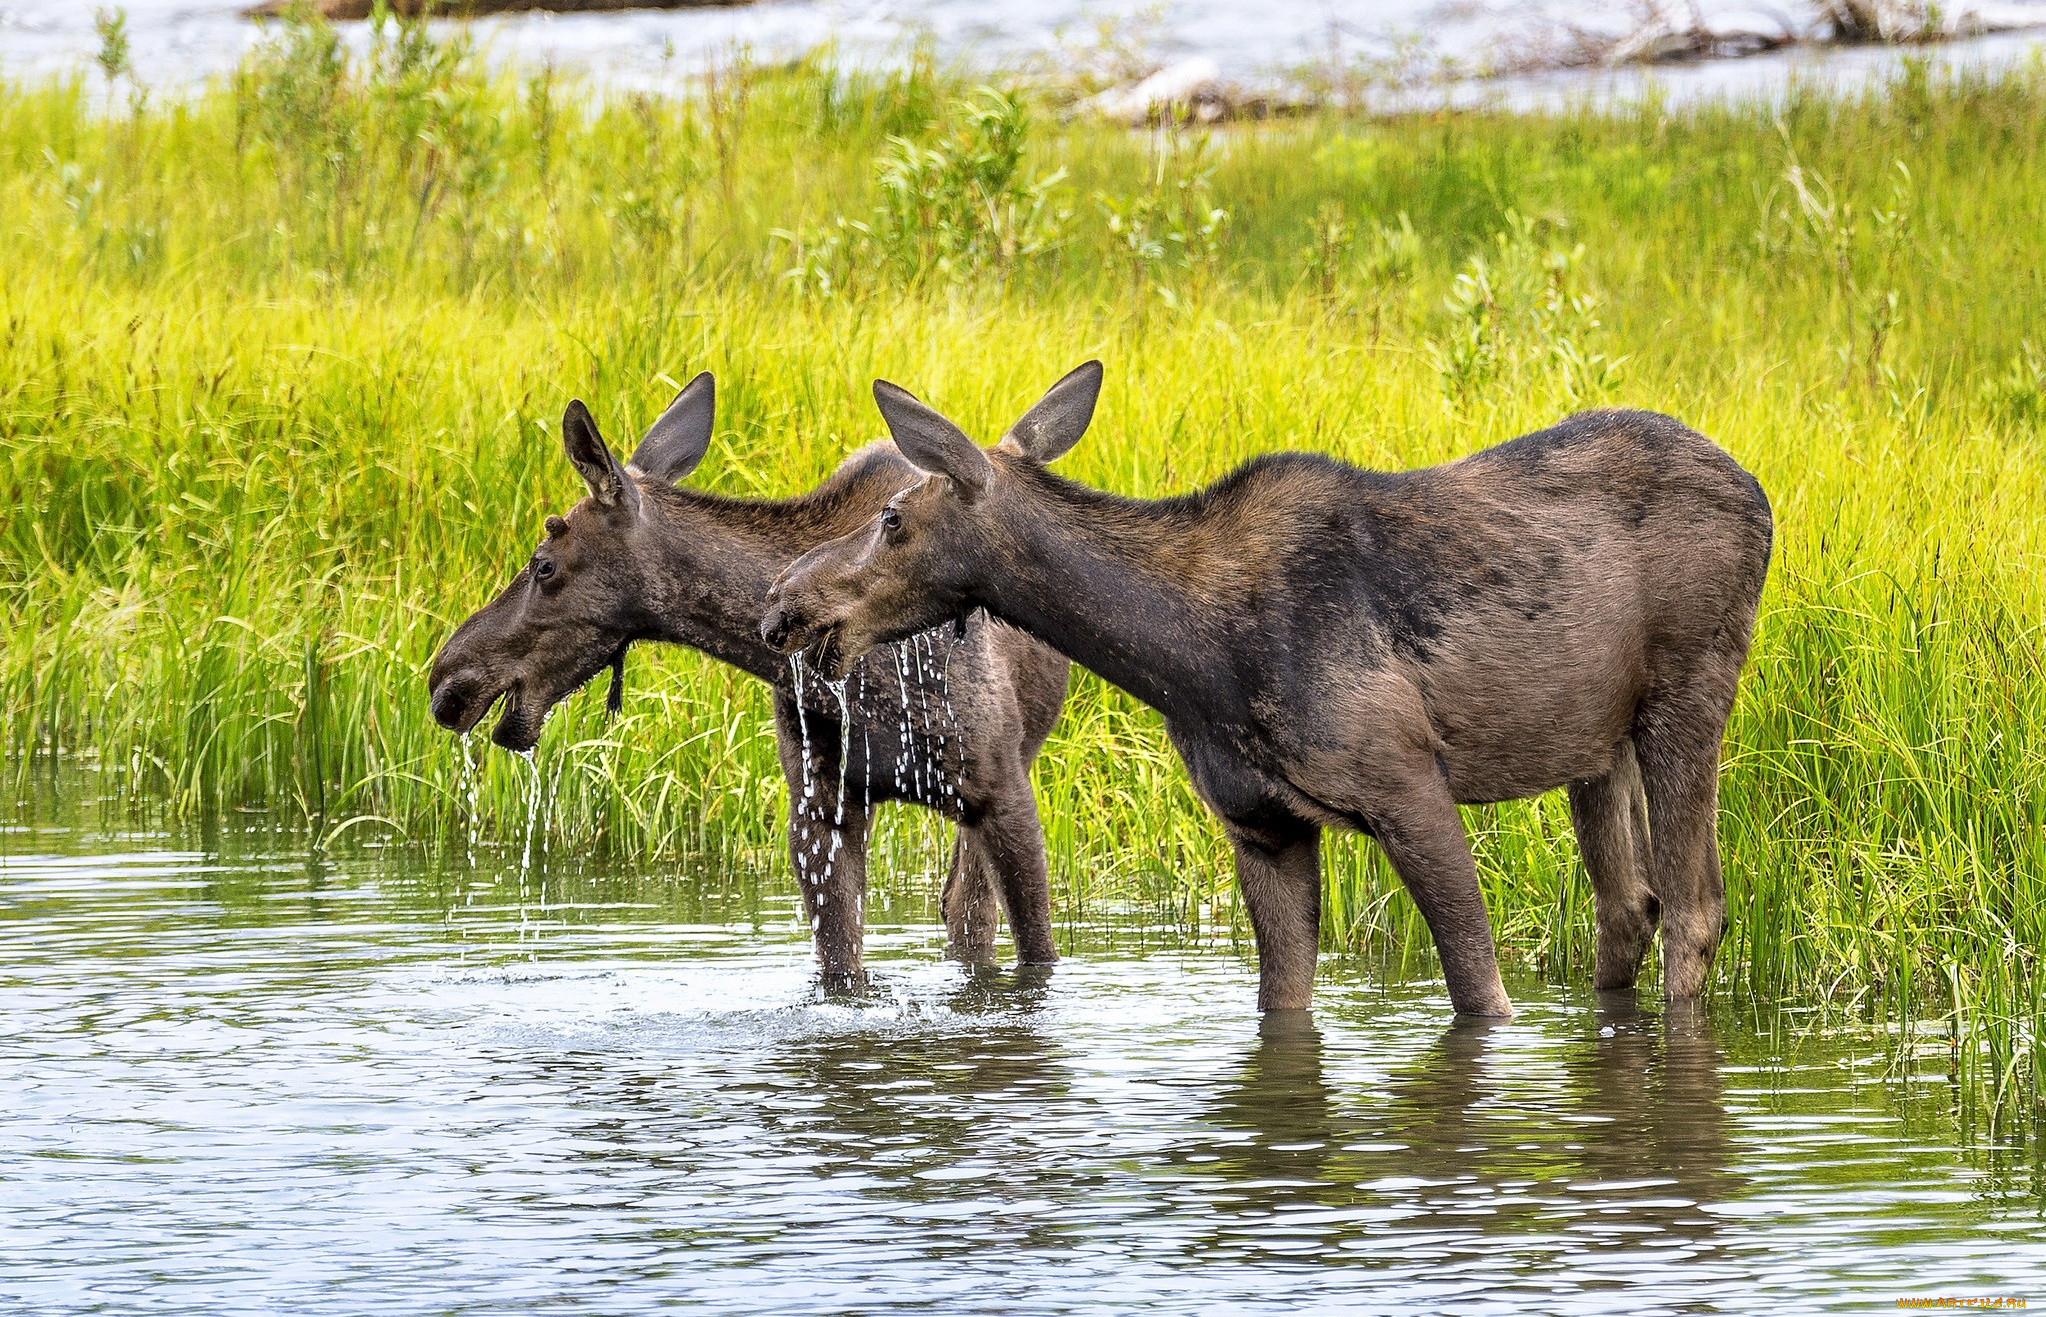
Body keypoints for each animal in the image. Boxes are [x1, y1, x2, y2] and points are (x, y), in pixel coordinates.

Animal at [425, 372, 1080, 989]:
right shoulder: (820, 807)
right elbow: (842, 972)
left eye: (543, 566)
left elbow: (1037, 956)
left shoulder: (1000, 790)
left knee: (968, 910)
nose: (445, 675)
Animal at [769, 359, 1775, 1018]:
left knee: (1694, 908)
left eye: (892, 517)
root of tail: (1763, 497)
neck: (1190, 658)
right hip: (1594, 742)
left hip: (1689, 692)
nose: (784, 600)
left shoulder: (1407, 780)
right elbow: (1282, 1002)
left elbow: (1480, 989)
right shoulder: (1260, 822)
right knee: (1629, 904)